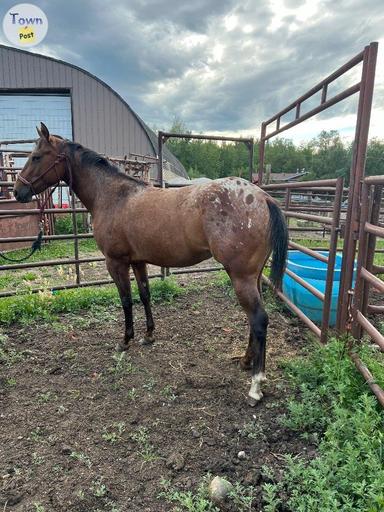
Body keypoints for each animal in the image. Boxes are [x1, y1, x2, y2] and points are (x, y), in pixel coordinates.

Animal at [13, 123, 286, 404]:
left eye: (36, 157)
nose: (17, 191)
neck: (113, 196)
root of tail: (263, 198)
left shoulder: (116, 263)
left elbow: (126, 300)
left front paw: (125, 340)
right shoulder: (138, 262)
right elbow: (145, 295)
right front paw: (148, 335)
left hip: (241, 277)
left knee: (258, 320)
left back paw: (255, 386)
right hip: (253, 277)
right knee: (254, 320)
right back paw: (245, 360)